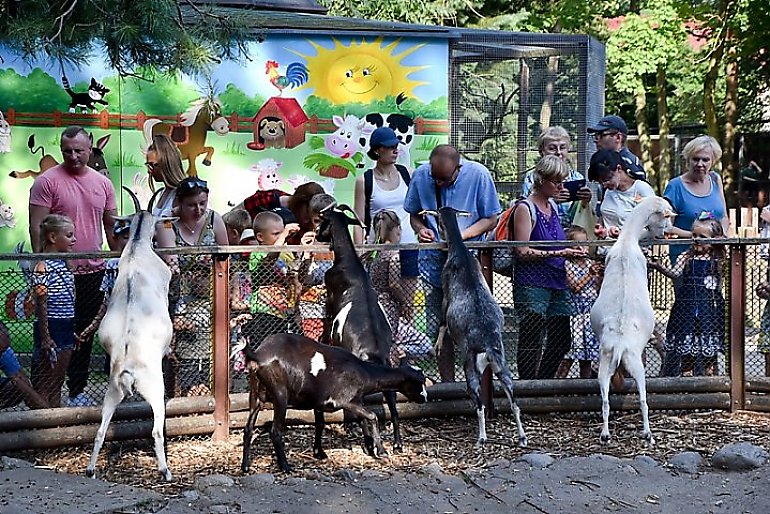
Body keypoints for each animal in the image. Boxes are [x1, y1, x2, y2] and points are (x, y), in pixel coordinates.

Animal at [86, 187, 176, 480]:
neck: (137, 246)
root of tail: (127, 367)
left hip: (112, 391)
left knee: (100, 430)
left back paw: (91, 470)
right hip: (155, 388)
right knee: (156, 430)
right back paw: (166, 472)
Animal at [240, 332, 426, 472]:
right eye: (420, 381)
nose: (425, 398)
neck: (363, 371)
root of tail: (258, 354)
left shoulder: (320, 402)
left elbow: (322, 424)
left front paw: (319, 452)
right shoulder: (345, 400)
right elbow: (372, 416)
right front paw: (381, 451)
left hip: (255, 395)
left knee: (248, 428)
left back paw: (245, 466)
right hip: (280, 394)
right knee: (275, 431)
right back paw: (285, 466)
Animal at [426, 206, 528, 446]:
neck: (461, 254)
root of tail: (488, 349)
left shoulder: (446, 293)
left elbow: (443, 321)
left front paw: (436, 347)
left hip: (471, 366)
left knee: (479, 401)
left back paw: (481, 438)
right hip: (503, 367)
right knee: (514, 401)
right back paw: (522, 437)